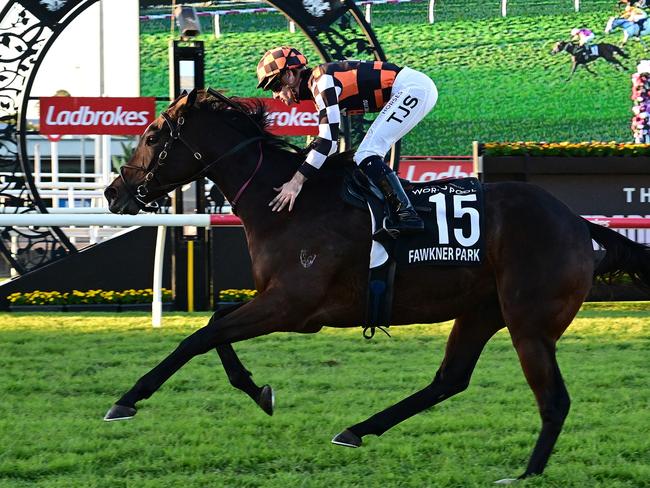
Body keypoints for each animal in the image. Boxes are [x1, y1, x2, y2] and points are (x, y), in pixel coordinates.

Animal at [102, 89, 648, 482]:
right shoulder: (281, 303)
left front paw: (128, 398)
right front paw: (259, 391)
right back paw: (357, 429)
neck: (288, 205)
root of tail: (577, 223)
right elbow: (215, 323)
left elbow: (199, 336)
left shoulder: (292, 305)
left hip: (528, 323)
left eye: (153, 135)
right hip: (481, 311)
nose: (113, 193)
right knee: (450, 379)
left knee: (552, 400)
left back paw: (525, 474)